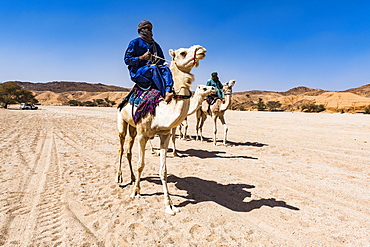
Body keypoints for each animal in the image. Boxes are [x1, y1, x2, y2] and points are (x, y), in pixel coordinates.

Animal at [117, 44, 207, 214]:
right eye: (183, 53)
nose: (201, 49)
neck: (161, 110)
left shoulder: (164, 135)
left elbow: (163, 171)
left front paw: (169, 205)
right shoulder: (143, 135)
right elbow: (141, 165)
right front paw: (135, 192)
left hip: (133, 128)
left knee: (129, 151)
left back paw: (131, 178)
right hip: (122, 122)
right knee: (121, 147)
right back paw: (119, 178)